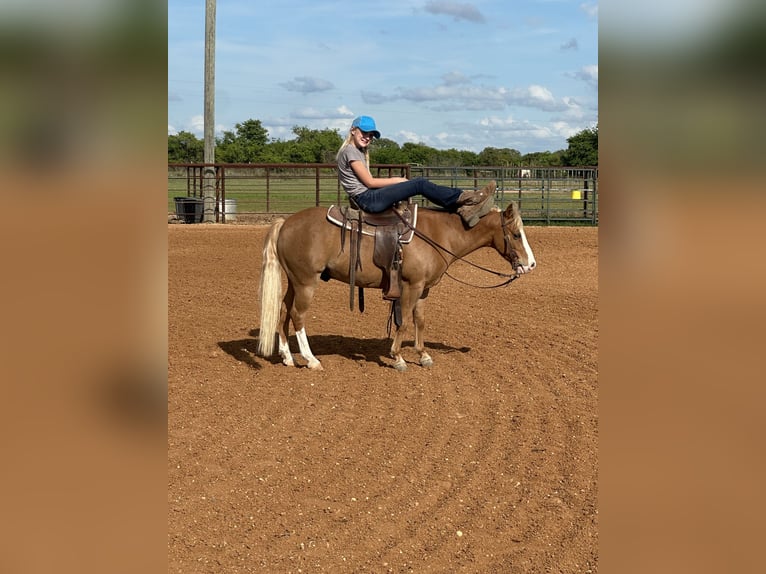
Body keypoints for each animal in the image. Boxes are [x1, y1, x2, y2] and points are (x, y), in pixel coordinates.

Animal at [256, 202, 536, 371]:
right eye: (516, 234)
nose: (530, 264)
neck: (438, 234)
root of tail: (285, 223)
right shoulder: (411, 286)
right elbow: (403, 322)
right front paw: (398, 357)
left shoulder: (424, 289)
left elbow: (419, 321)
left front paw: (423, 355)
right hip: (306, 282)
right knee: (297, 315)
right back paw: (311, 360)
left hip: (294, 281)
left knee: (283, 311)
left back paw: (287, 357)